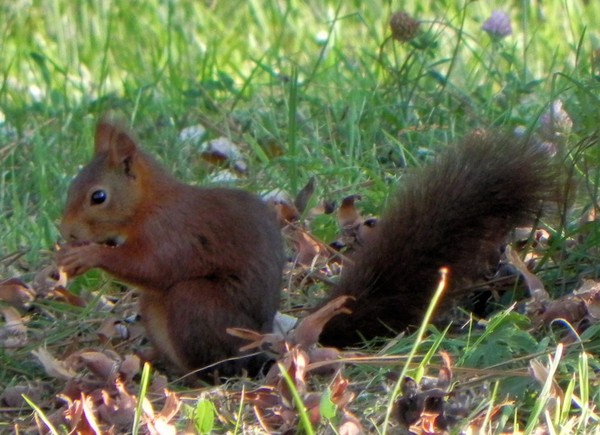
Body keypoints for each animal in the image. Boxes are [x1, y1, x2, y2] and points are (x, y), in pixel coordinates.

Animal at [57, 121, 552, 376]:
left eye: (98, 196)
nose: (66, 231)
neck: (148, 205)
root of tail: (262, 351)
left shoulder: (174, 232)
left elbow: (155, 266)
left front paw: (88, 256)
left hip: (197, 303)